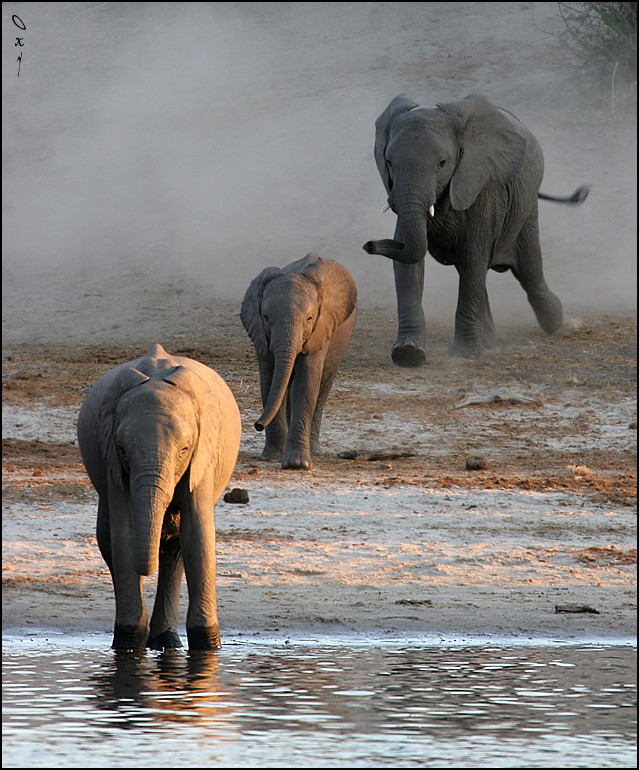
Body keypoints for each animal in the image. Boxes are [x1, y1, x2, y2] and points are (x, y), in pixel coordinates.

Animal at [76, 343, 241, 651]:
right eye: (123, 449)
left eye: (184, 450)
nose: (146, 570)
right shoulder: (111, 460)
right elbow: (124, 534)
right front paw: (128, 645)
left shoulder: (203, 456)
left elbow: (197, 534)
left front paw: (207, 647)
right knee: (107, 539)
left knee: (175, 548)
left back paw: (166, 641)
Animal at [241, 252, 357, 470]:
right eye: (266, 317)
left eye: (309, 319)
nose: (258, 425)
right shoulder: (261, 333)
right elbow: (269, 381)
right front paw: (273, 457)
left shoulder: (321, 329)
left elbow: (305, 383)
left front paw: (297, 464)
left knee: (322, 386)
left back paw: (314, 450)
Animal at [363, 93, 589, 364]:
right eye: (388, 162)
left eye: (442, 163)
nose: (369, 244)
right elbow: (410, 261)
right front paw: (408, 353)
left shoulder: (482, 188)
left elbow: (473, 257)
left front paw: (464, 355)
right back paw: (490, 342)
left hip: (525, 206)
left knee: (528, 269)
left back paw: (561, 325)